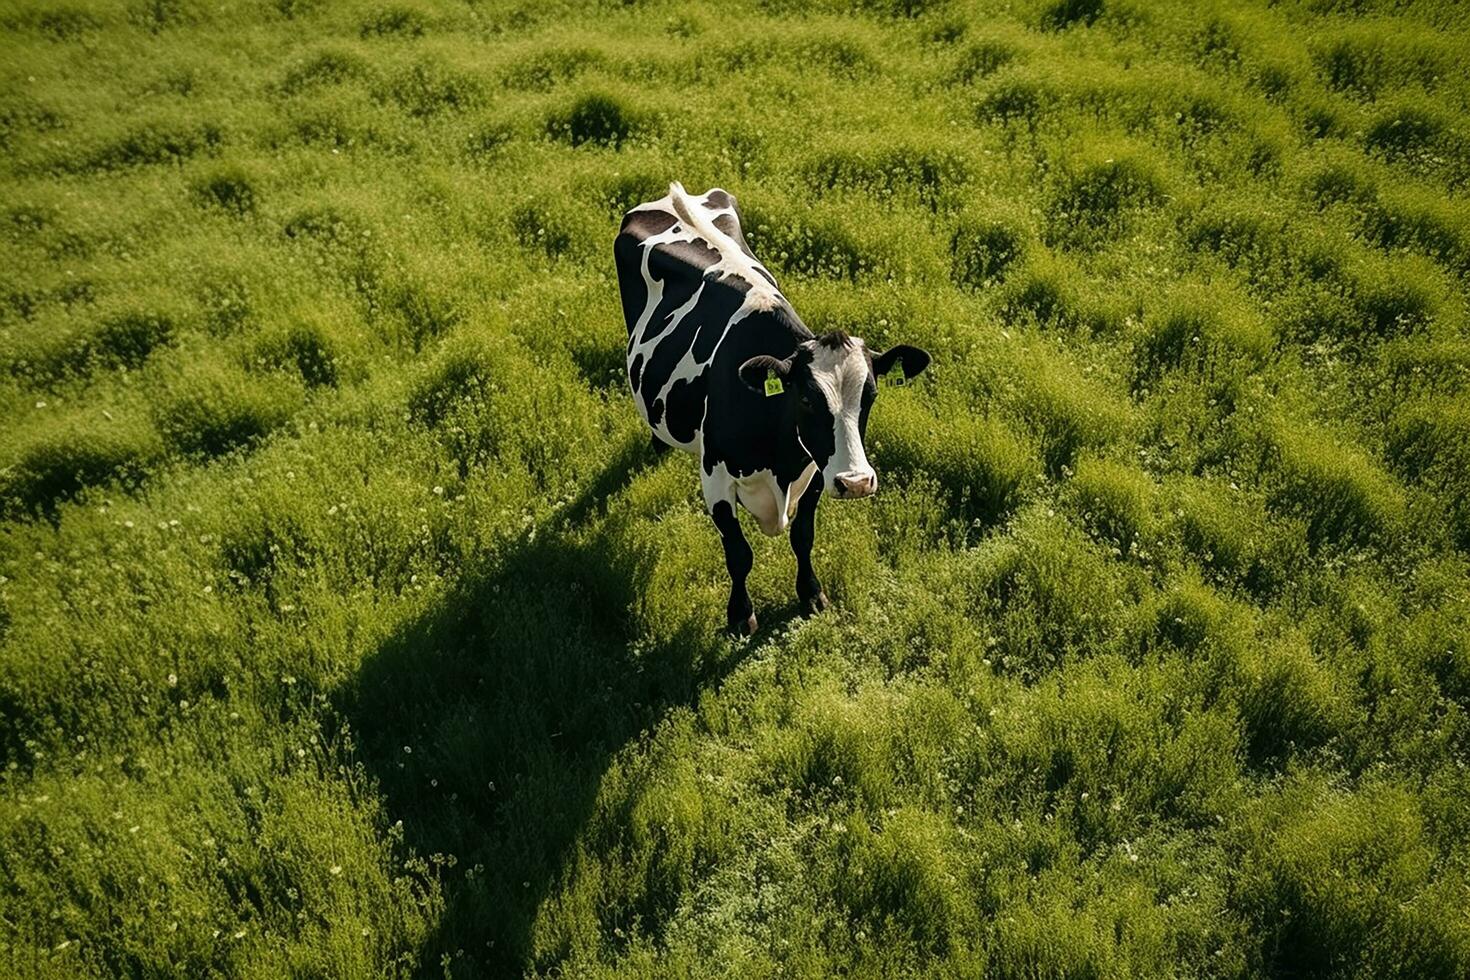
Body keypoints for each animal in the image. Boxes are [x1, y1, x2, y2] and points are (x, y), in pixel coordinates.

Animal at [614, 182, 923, 637]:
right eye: (807, 399)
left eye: (870, 396)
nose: (856, 482)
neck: (779, 460)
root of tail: (672, 196)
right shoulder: (715, 478)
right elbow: (739, 552)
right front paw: (740, 616)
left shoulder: (816, 468)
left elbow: (803, 536)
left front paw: (811, 593)